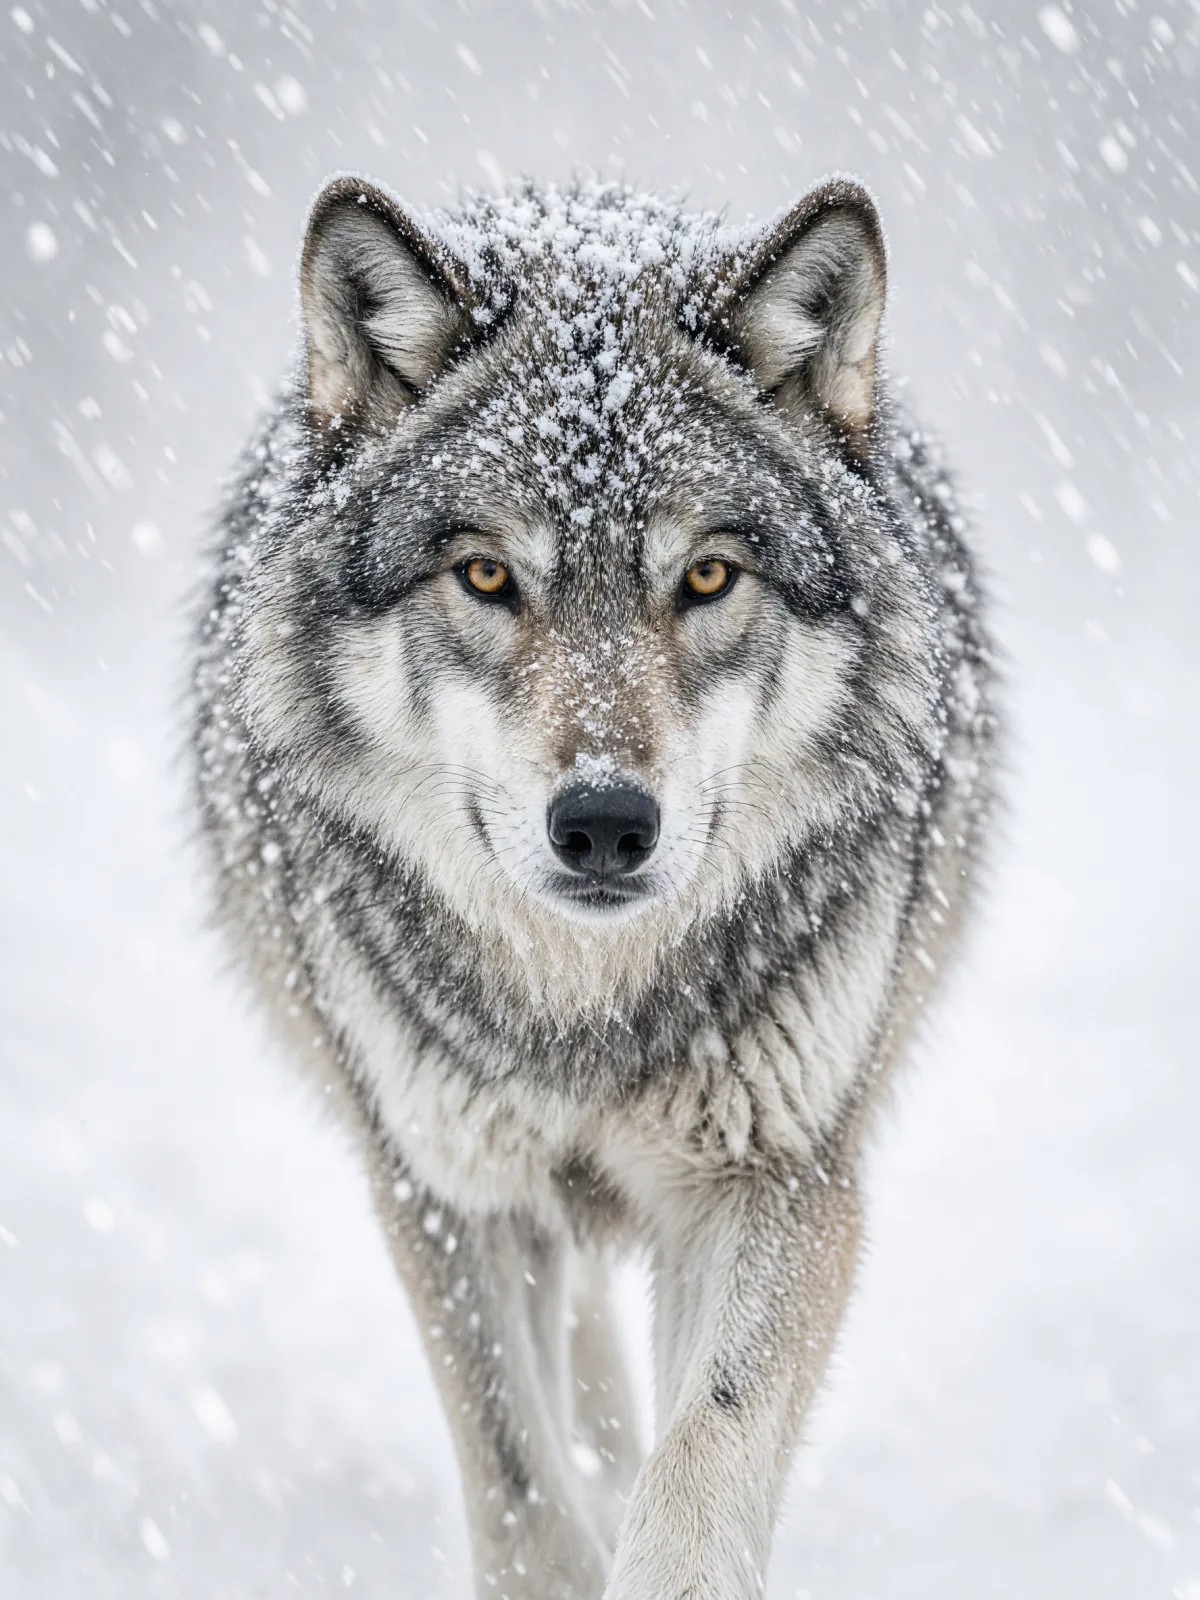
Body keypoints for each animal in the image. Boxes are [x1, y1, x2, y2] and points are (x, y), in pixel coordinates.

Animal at [192, 172, 995, 1598]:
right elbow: (518, 1478)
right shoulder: (445, 1185)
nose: (608, 824)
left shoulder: (779, 1174)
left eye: (709, 575)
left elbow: (704, 1452)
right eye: (487, 574)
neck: (587, 1007)